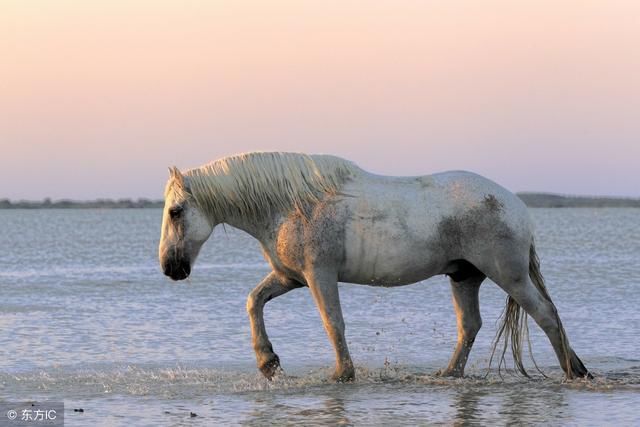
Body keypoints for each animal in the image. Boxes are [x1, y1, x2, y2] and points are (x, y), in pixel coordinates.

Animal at [159, 152, 592, 382]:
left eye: (176, 211)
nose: (169, 268)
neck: (291, 204)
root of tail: (517, 206)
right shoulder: (290, 277)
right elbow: (254, 302)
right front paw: (269, 364)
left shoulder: (319, 275)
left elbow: (333, 322)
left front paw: (342, 374)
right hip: (464, 276)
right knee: (470, 325)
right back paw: (448, 374)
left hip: (509, 275)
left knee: (546, 315)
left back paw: (574, 372)